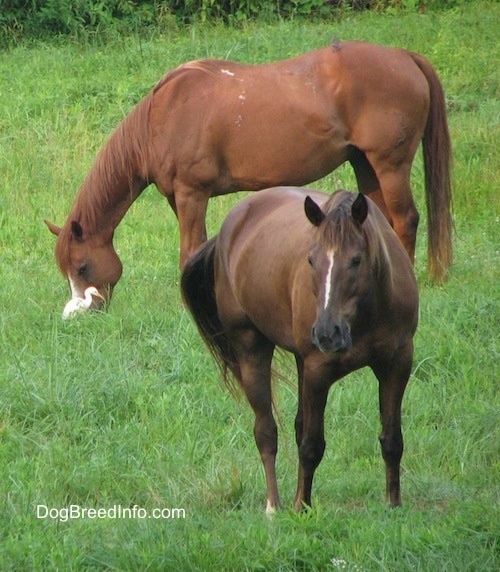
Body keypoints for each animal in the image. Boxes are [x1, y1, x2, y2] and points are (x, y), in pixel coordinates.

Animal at [47, 40, 452, 318]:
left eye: (82, 267)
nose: (84, 312)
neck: (163, 117)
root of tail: (404, 56)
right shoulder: (180, 199)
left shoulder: (191, 193)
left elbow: (189, 250)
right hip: (364, 164)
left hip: (389, 165)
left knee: (406, 219)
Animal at [181, 185, 418, 512]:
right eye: (311, 261)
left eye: (356, 260)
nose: (327, 333)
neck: (368, 314)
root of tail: (233, 223)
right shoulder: (319, 371)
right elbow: (312, 445)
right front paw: (301, 506)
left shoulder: (398, 363)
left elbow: (392, 440)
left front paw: (393, 504)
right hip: (252, 348)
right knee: (266, 432)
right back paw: (274, 504)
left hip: (301, 360)